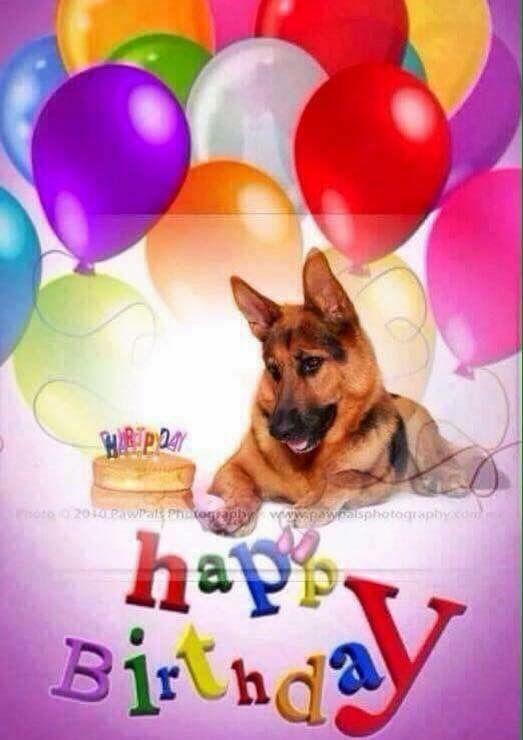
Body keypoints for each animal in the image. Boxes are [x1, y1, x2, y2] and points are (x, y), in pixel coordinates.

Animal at [207, 251, 486, 536]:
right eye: (273, 370)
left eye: (312, 363)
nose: (278, 431)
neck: (309, 460)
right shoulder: (229, 470)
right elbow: (244, 486)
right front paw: (235, 510)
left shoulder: (380, 482)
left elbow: (346, 475)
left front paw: (313, 502)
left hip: (419, 425)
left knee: (439, 456)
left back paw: (447, 477)